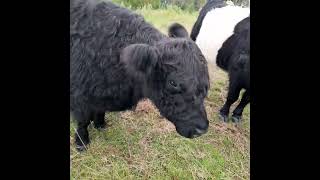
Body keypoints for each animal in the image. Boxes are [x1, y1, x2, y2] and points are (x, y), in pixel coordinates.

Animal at [70, 0, 210, 152]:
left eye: (205, 82)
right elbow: (83, 121)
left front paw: (100, 125)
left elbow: (99, 111)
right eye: (173, 82)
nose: (201, 129)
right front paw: (81, 142)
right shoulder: (80, 96)